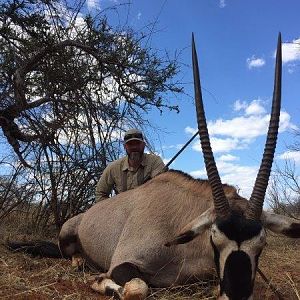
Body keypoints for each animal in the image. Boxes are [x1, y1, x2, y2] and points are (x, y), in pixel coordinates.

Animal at [8, 34, 300, 298]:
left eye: (262, 244)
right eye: (214, 238)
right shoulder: (124, 262)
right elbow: (136, 288)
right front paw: (100, 281)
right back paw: (80, 261)